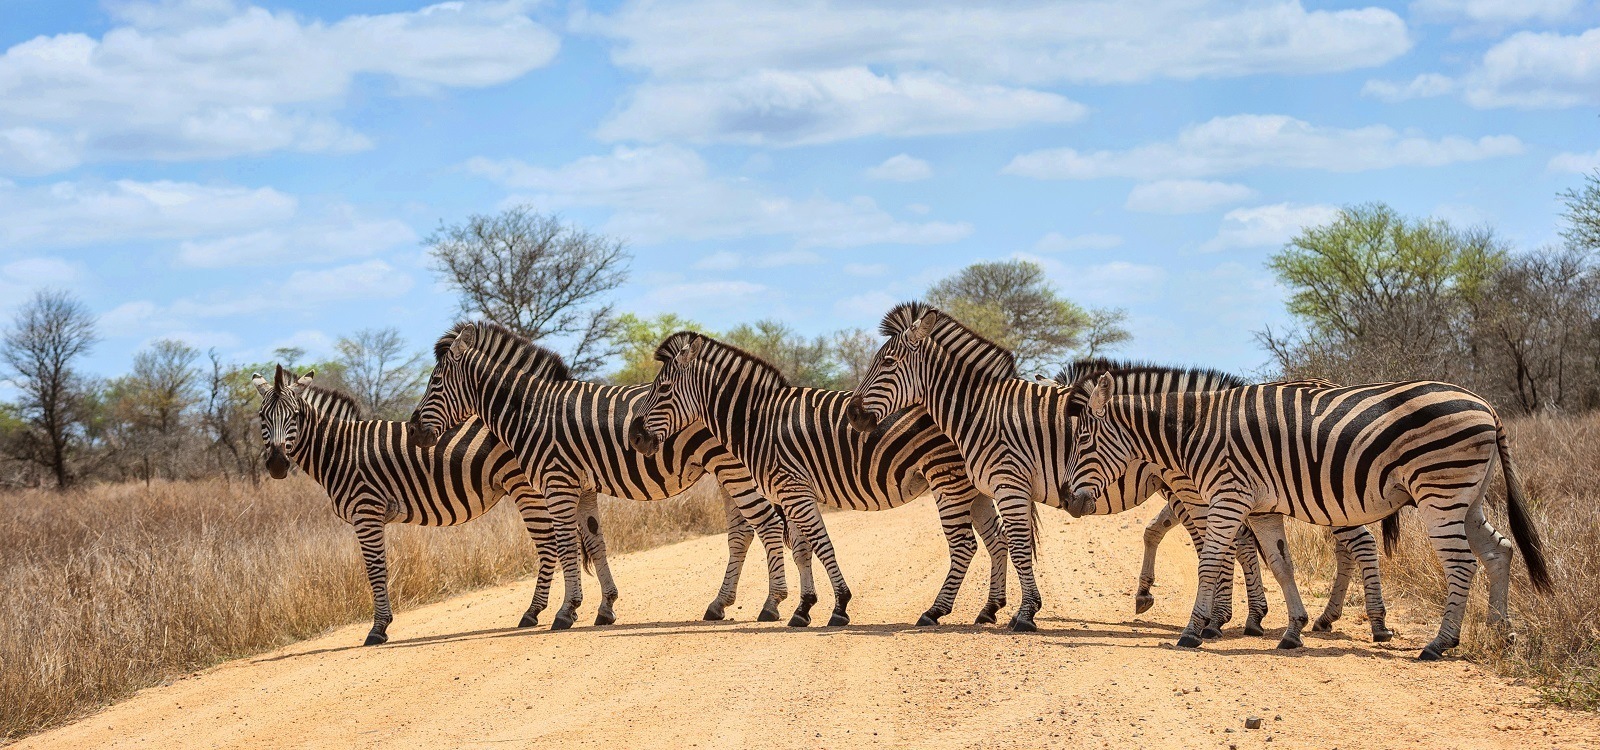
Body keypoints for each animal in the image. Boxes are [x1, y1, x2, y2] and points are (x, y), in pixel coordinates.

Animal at [249, 364, 611, 642]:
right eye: (262, 417)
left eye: (295, 415)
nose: (277, 465)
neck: (339, 450)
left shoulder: (366, 511)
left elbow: (375, 569)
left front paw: (378, 629)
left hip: (527, 486)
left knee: (550, 545)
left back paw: (534, 612)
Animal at [406, 318, 793, 630]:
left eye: (435, 381)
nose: (412, 431)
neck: (532, 410)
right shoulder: (583, 486)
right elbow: (595, 542)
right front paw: (605, 608)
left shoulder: (557, 482)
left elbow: (565, 545)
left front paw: (565, 612)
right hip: (726, 471)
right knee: (742, 533)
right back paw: (719, 604)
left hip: (734, 468)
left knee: (767, 524)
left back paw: (771, 604)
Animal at [620, 331, 1011, 630]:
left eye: (663, 388)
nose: (635, 438)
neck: (759, 422)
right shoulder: (790, 491)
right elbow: (802, 548)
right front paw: (803, 607)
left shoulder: (794, 488)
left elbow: (822, 545)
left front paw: (839, 606)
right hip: (971, 485)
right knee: (997, 539)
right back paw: (989, 610)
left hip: (946, 478)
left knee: (964, 545)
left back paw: (934, 611)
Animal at [1049, 359, 1388, 639]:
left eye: (1078, 437)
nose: (1067, 497)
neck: (1188, 427)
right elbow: (1168, 533)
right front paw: (1246, 615)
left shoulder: (1201, 494)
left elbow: (1222, 547)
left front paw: (1219, 618)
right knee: (1346, 548)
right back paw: (1327, 618)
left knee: (1362, 543)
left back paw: (1377, 624)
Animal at [1075, 371, 1548, 658]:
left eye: (1082, 441)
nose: (1075, 503)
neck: (1195, 431)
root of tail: (1485, 404)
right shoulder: (1262, 507)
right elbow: (1281, 564)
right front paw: (1293, 629)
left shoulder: (1228, 497)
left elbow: (1210, 561)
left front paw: (1193, 631)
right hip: (1468, 497)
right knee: (1499, 551)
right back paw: (1501, 630)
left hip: (1440, 492)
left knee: (1462, 562)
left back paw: (1438, 643)